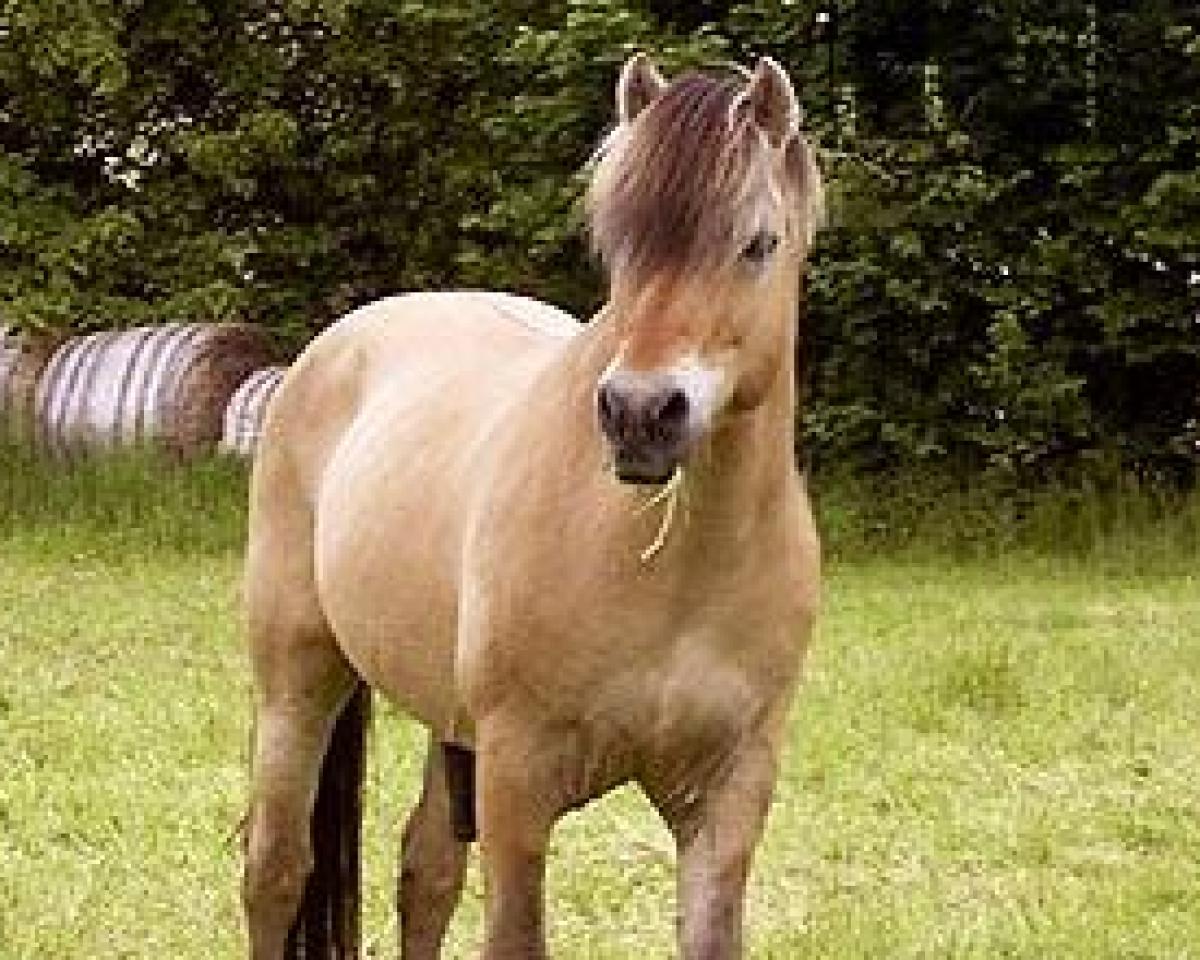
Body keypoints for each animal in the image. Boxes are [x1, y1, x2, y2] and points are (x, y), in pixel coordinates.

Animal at [242, 53, 825, 960]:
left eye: (758, 244)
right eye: (618, 245)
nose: (639, 413)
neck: (677, 572)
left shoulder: (730, 791)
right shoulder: (517, 780)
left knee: (426, 873)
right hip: (297, 679)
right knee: (275, 871)